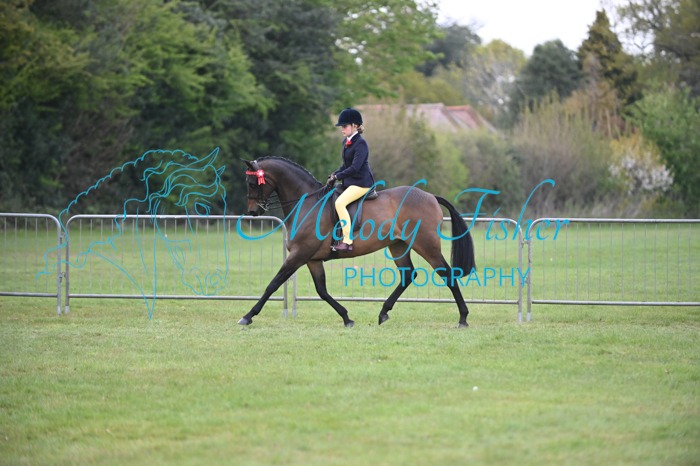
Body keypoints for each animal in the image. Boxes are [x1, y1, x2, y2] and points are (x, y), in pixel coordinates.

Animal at [238, 156, 475, 328]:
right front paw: (346, 317)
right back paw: (383, 313)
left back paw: (463, 318)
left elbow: (273, 284)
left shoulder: (299, 255)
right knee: (408, 275)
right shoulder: (312, 259)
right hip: (398, 245)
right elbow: (321, 290)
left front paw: (248, 316)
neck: (307, 203)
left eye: (252, 183)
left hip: (426, 245)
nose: (253, 212)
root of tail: (431, 196)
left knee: (446, 274)